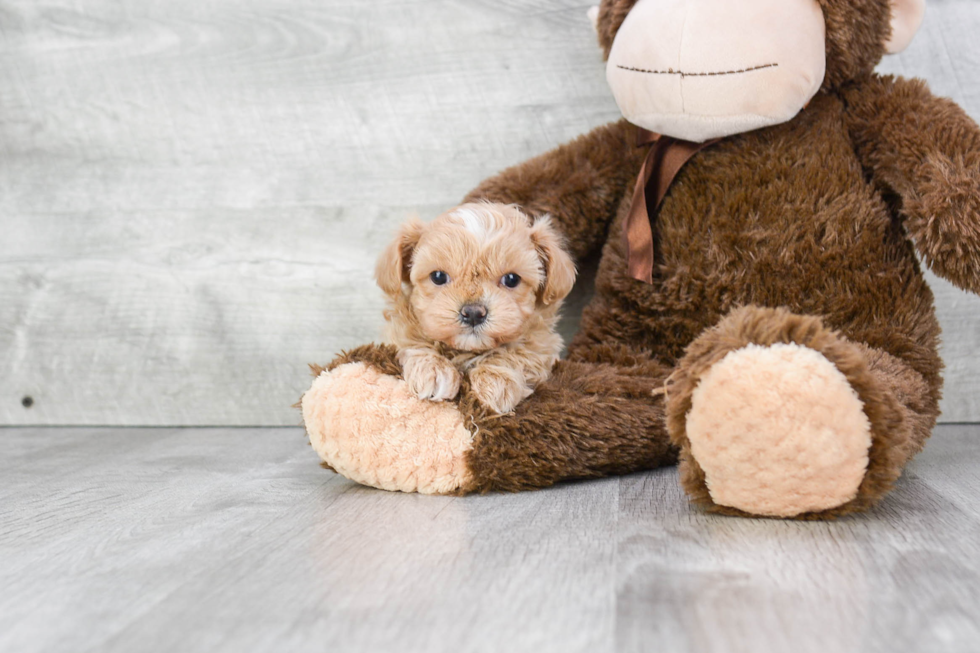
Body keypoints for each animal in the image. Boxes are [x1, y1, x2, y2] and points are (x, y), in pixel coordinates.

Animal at [374, 201, 576, 412]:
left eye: (512, 279)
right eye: (438, 276)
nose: (472, 313)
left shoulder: (544, 344)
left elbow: (519, 352)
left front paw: (497, 379)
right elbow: (412, 341)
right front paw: (433, 369)